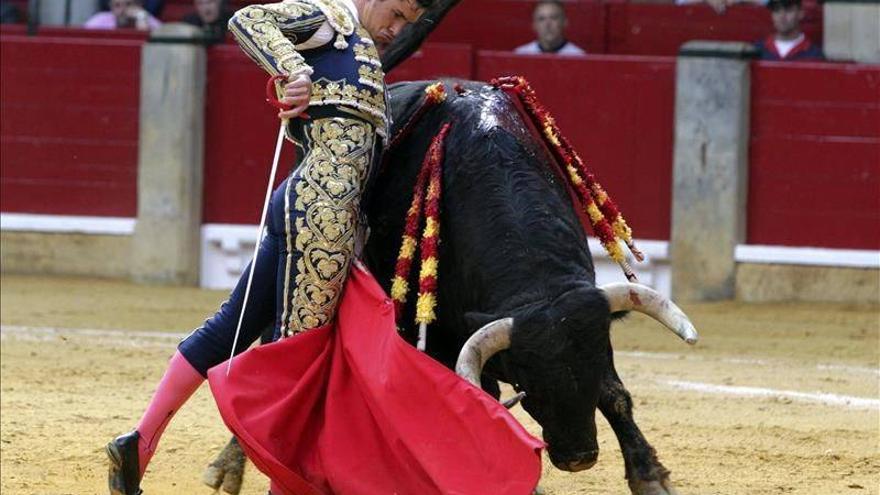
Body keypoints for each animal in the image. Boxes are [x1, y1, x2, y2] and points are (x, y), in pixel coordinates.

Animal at [206, 79, 696, 494]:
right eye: (529, 382)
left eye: (593, 365)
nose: (578, 457)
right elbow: (483, 403)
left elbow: (616, 395)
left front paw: (650, 476)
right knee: (274, 341)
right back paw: (229, 465)